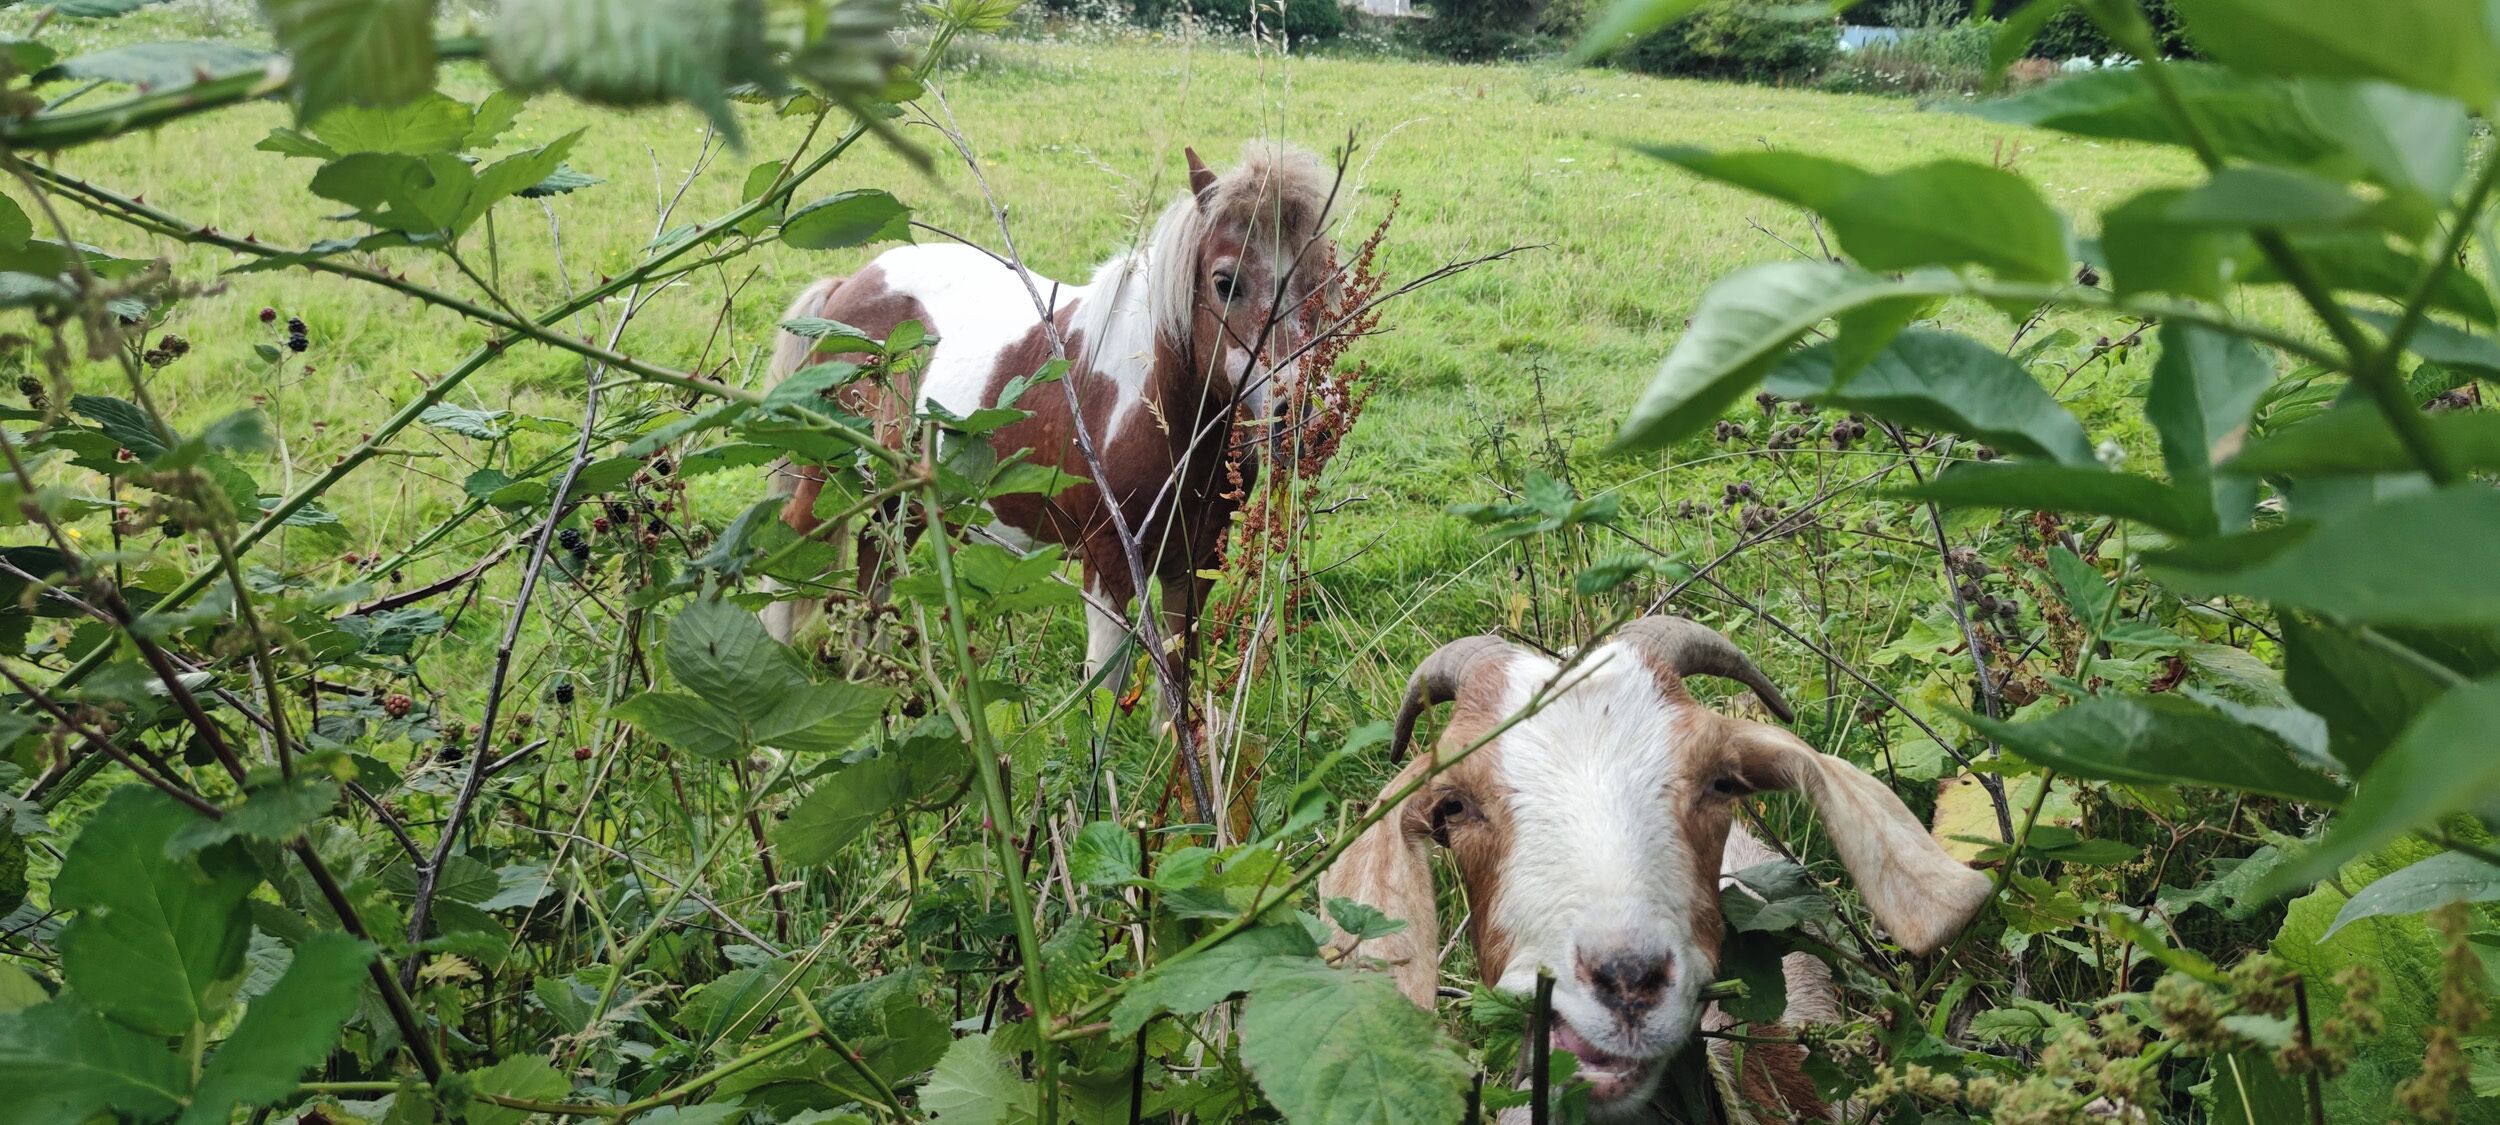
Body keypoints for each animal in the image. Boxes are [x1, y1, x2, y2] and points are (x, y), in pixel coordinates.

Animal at [760, 141, 1340, 713]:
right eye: (1225, 282)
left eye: (1324, 280)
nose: (1308, 419)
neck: (1153, 410)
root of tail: (848, 286)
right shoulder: (1110, 564)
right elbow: (1105, 687)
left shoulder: (1194, 566)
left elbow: (1177, 687)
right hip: (828, 476)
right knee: (792, 539)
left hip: (902, 495)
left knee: (873, 562)